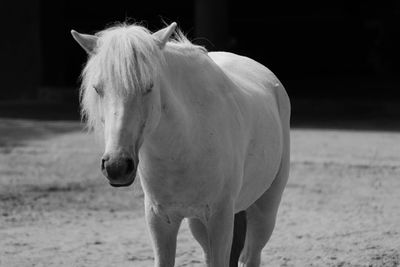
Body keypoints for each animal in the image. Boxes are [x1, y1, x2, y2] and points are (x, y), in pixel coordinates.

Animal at [71, 21, 290, 267]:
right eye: (97, 89)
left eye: (149, 86)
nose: (116, 167)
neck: (183, 146)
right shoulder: (160, 220)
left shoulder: (220, 219)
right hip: (199, 224)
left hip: (264, 210)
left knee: (251, 255)